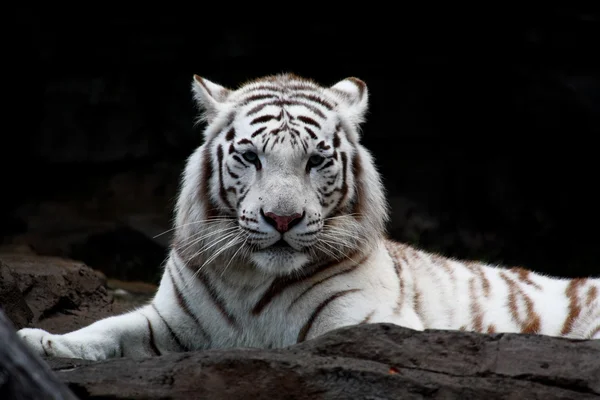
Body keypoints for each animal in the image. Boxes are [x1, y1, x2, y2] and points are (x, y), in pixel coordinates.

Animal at [16, 73, 600, 360]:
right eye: (250, 156)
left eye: (317, 160)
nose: (282, 219)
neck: (251, 281)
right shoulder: (171, 322)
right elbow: (108, 329)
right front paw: (38, 342)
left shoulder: (365, 323)